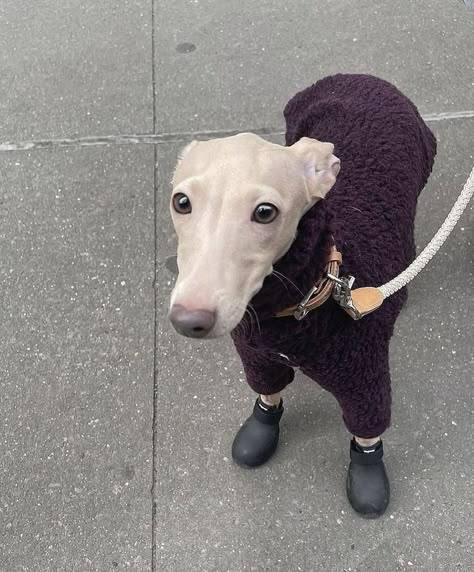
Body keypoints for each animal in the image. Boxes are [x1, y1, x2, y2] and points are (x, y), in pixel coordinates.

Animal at [167, 73, 436, 516]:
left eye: (265, 211)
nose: (189, 320)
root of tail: (362, 76)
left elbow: (367, 430)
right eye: (181, 201)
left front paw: (367, 474)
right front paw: (261, 427)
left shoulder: (364, 376)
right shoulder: (258, 355)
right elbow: (267, 393)